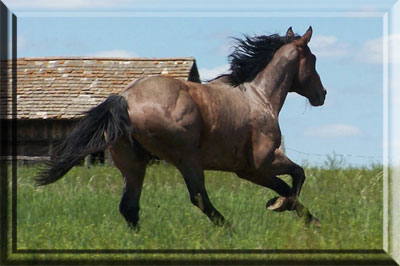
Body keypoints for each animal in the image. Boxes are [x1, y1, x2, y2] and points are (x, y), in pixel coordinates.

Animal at [36, 27, 324, 231]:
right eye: (313, 59)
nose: (322, 94)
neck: (259, 96)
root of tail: (125, 98)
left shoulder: (248, 170)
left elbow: (284, 185)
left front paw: (309, 219)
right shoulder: (264, 161)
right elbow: (297, 176)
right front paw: (280, 206)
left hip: (133, 163)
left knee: (129, 207)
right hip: (187, 159)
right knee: (199, 198)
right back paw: (231, 230)